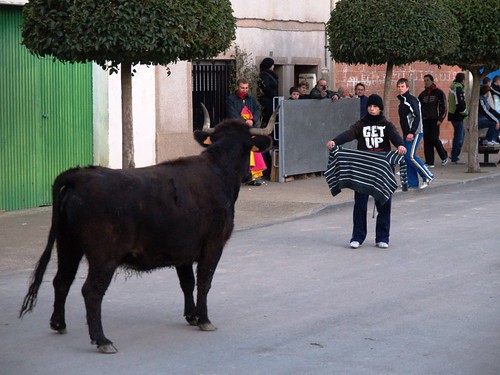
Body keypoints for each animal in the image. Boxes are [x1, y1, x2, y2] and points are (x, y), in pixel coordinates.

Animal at [19, 108, 276, 352]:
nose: (249, 175)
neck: (218, 171)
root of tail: (80, 175)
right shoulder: (213, 244)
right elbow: (204, 281)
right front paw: (204, 319)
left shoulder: (183, 251)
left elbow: (187, 283)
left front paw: (191, 316)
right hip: (103, 255)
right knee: (91, 290)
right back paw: (102, 340)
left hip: (67, 244)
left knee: (62, 280)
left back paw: (58, 324)